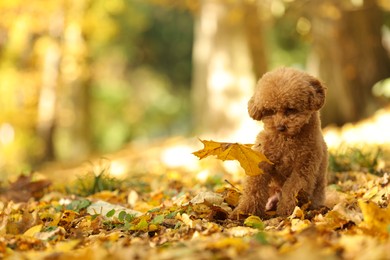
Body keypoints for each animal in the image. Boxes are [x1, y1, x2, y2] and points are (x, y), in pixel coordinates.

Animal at [232, 68, 330, 218]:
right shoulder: (261, 161)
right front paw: (245, 211)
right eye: (270, 111)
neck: (286, 141)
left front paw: (287, 211)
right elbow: (254, 186)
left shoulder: (304, 168)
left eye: (291, 109)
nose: (280, 127)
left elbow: (292, 188)